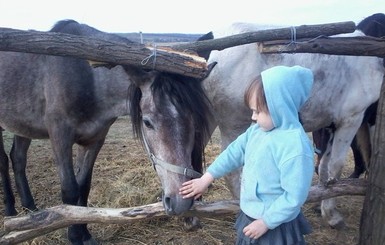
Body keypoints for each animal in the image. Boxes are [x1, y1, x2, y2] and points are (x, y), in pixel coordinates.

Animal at [0, 20, 212, 244]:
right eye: (147, 122)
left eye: (194, 120)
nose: (181, 201)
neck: (86, 77)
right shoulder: (60, 137)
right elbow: (70, 189)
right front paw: (74, 236)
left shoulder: (94, 140)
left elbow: (83, 186)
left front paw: (84, 233)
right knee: (4, 162)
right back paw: (11, 210)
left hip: (23, 126)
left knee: (18, 158)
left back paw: (30, 208)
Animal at [200, 13, 384, 230]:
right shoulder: (351, 120)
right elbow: (335, 168)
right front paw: (332, 215)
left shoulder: (329, 125)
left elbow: (324, 166)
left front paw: (322, 206)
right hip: (234, 125)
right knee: (233, 173)